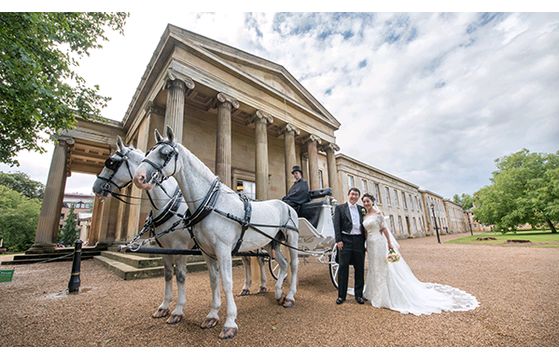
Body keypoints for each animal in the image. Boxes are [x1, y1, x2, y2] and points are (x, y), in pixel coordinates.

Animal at [133, 126, 300, 340]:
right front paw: (212, 315)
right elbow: (213, 281)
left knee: (294, 264)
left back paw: (290, 296)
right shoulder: (207, 252)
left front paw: (230, 322)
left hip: (291, 239)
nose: (139, 177)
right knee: (283, 263)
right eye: (148, 152)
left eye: (166, 153)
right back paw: (279, 293)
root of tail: (285, 204)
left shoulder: (223, 250)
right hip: (273, 243)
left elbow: (227, 282)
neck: (212, 203)